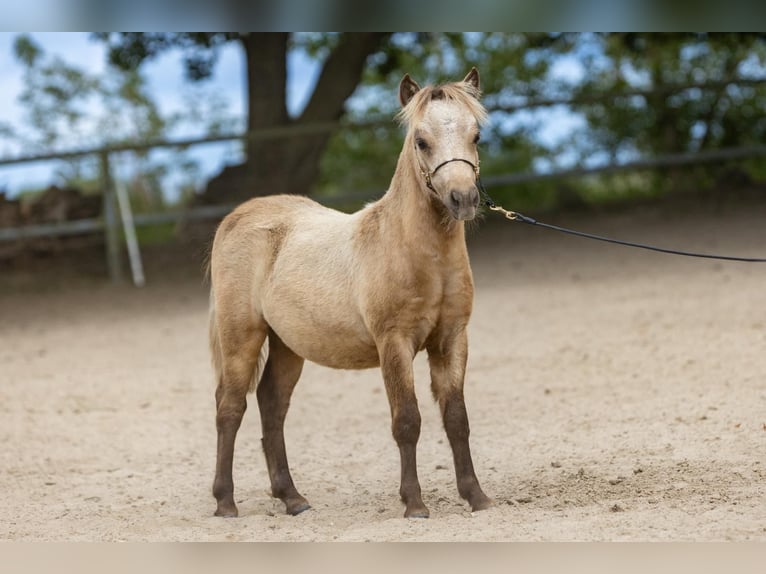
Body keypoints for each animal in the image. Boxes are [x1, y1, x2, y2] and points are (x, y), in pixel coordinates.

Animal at [208, 68, 493, 519]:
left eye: (476, 134)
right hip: (242, 339)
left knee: (272, 406)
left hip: (288, 345)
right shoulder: (394, 343)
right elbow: (407, 421)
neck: (415, 252)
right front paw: (414, 504)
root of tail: (238, 216)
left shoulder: (451, 341)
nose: (463, 199)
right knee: (230, 409)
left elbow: (456, 420)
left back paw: (292, 498)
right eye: (421, 140)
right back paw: (225, 503)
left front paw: (476, 497)